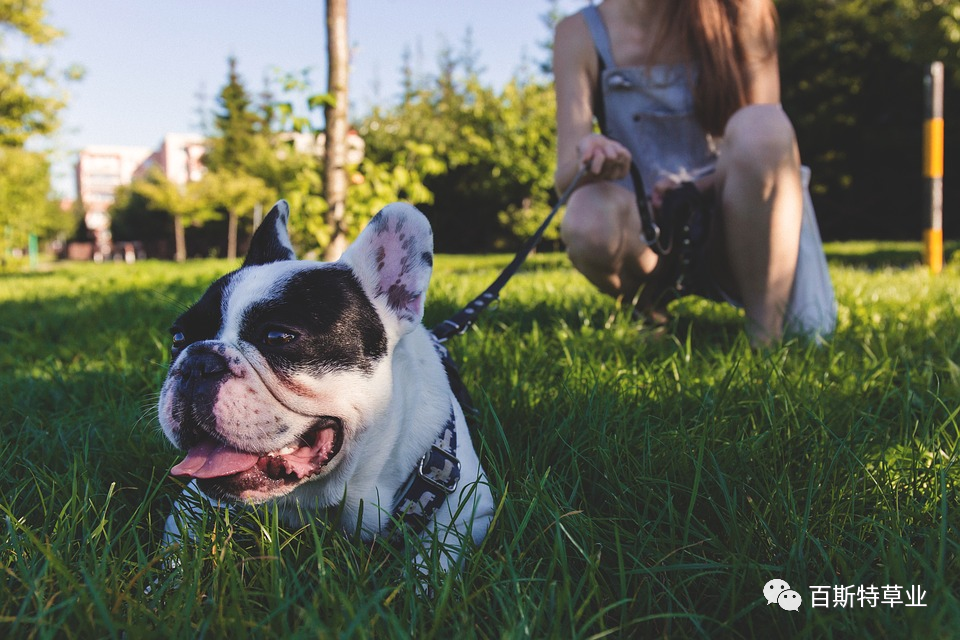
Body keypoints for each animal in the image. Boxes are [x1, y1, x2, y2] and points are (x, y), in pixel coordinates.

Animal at [158, 201, 496, 568]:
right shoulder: (191, 502)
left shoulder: (470, 513)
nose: (197, 363)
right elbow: (173, 551)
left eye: (278, 336)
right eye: (178, 338)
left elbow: (433, 559)